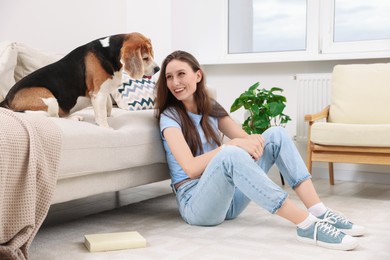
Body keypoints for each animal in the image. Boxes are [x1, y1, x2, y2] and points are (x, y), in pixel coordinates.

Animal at [0, 32, 160, 128]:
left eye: (151, 54)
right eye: (145, 58)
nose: (158, 69)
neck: (108, 52)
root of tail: (6, 98)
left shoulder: (103, 92)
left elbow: (108, 106)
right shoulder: (98, 93)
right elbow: (102, 114)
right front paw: (106, 128)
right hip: (49, 99)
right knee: (54, 116)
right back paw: (73, 118)